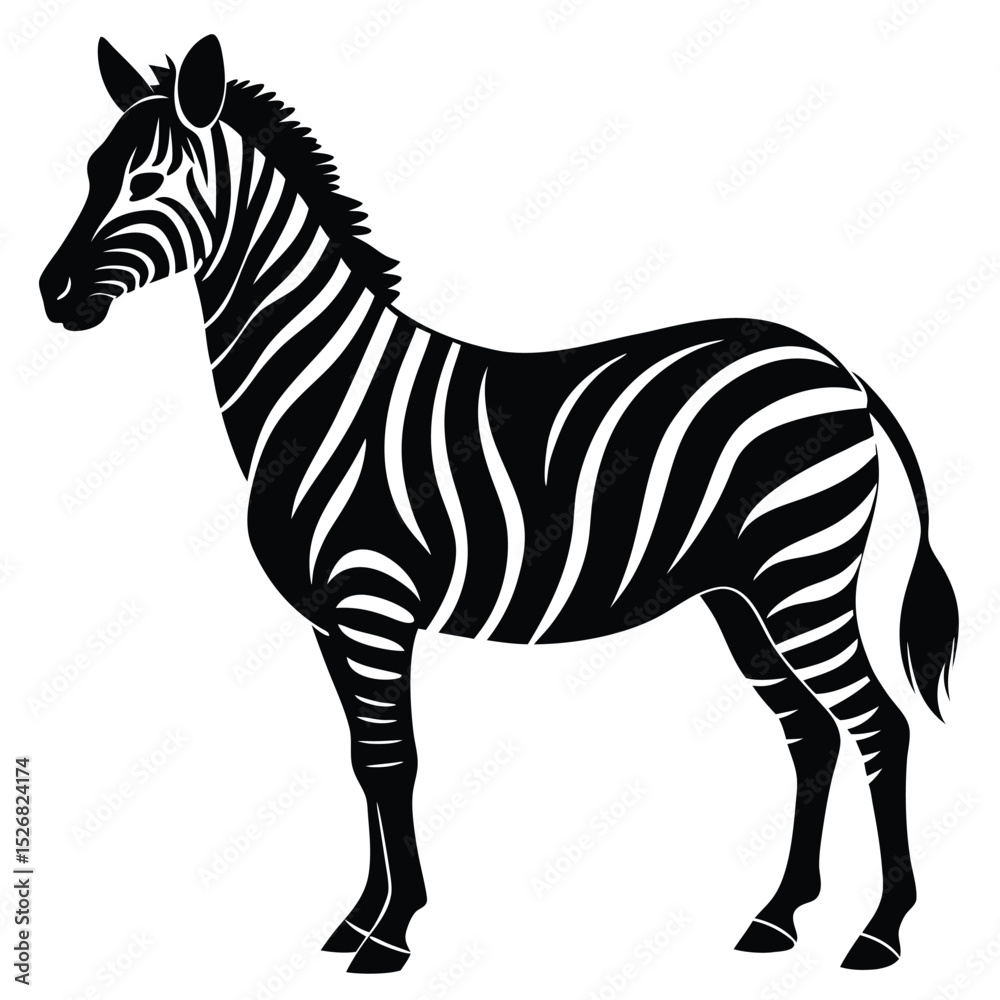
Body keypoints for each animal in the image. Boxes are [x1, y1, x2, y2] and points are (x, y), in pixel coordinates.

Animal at [39, 35, 958, 975]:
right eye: (92, 170)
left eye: (148, 181)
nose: (51, 294)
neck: (319, 388)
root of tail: (838, 367)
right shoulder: (331, 621)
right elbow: (361, 763)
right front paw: (357, 920)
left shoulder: (373, 602)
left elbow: (393, 759)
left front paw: (391, 933)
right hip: (741, 594)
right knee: (810, 732)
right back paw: (777, 918)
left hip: (803, 577)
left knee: (878, 726)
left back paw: (880, 932)